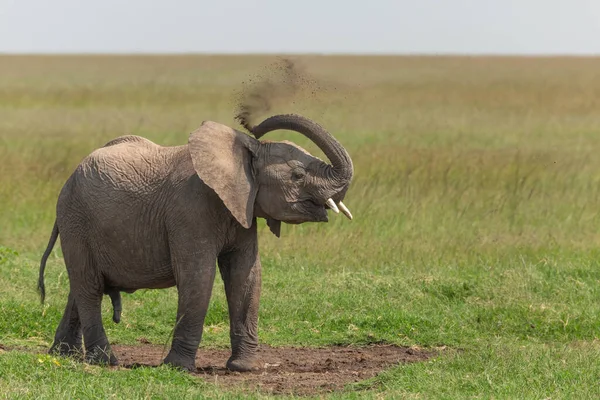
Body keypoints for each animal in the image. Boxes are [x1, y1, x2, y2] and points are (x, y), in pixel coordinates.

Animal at [37, 112, 354, 372]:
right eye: (298, 176)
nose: (252, 125)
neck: (241, 155)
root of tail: (68, 179)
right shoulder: (190, 210)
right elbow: (198, 276)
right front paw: (177, 368)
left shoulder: (242, 209)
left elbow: (246, 274)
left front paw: (246, 368)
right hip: (76, 220)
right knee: (89, 287)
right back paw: (105, 361)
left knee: (81, 286)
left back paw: (63, 356)